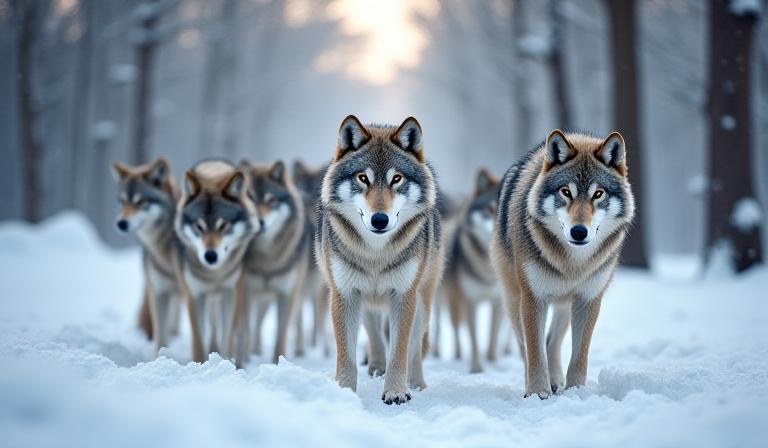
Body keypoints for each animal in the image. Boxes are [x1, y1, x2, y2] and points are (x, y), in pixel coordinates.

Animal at [174, 159, 260, 362]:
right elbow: (199, 339)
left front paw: (225, 362)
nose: (210, 256)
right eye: (199, 226)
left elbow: (227, 336)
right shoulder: (195, 295)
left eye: (223, 225)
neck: (214, 275)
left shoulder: (231, 292)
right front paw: (200, 363)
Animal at [229, 160, 310, 367]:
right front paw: (240, 364)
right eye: (249, 198)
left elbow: (281, 334)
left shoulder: (286, 294)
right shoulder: (245, 292)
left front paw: (277, 364)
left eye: (271, 200)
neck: (268, 260)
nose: (260, 222)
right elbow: (244, 330)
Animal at [316, 115, 444, 405]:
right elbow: (346, 355)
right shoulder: (344, 294)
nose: (379, 220)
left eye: (396, 179)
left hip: (423, 300)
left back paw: (417, 384)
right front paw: (344, 391)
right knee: (373, 330)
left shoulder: (404, 296)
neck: (375, 254)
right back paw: (375, 367)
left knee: (415, 347)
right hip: (365, 299)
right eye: (363, 178)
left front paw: (396, 391)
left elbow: (400, 352)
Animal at [444, 168, 502, 373]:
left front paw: (493, 360)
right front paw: (476, 368)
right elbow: (474, 338)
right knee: (453, 328)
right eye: (489, 210)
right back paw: (456, 355)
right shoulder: (471, 300)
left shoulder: (498, 300)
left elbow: (493, 335)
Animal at [490, 130, 635, 398]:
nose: (579, 232)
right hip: (514, 301)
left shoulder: (588, 299)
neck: (572, 264)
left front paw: (576, 390)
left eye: (598, 194)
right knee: (526, 347)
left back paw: (557, 381)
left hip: (564, 306)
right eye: (566, 192)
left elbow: (579, 356)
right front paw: (538, 393)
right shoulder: (533, 298)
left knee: (552, 342)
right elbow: (535, 353)